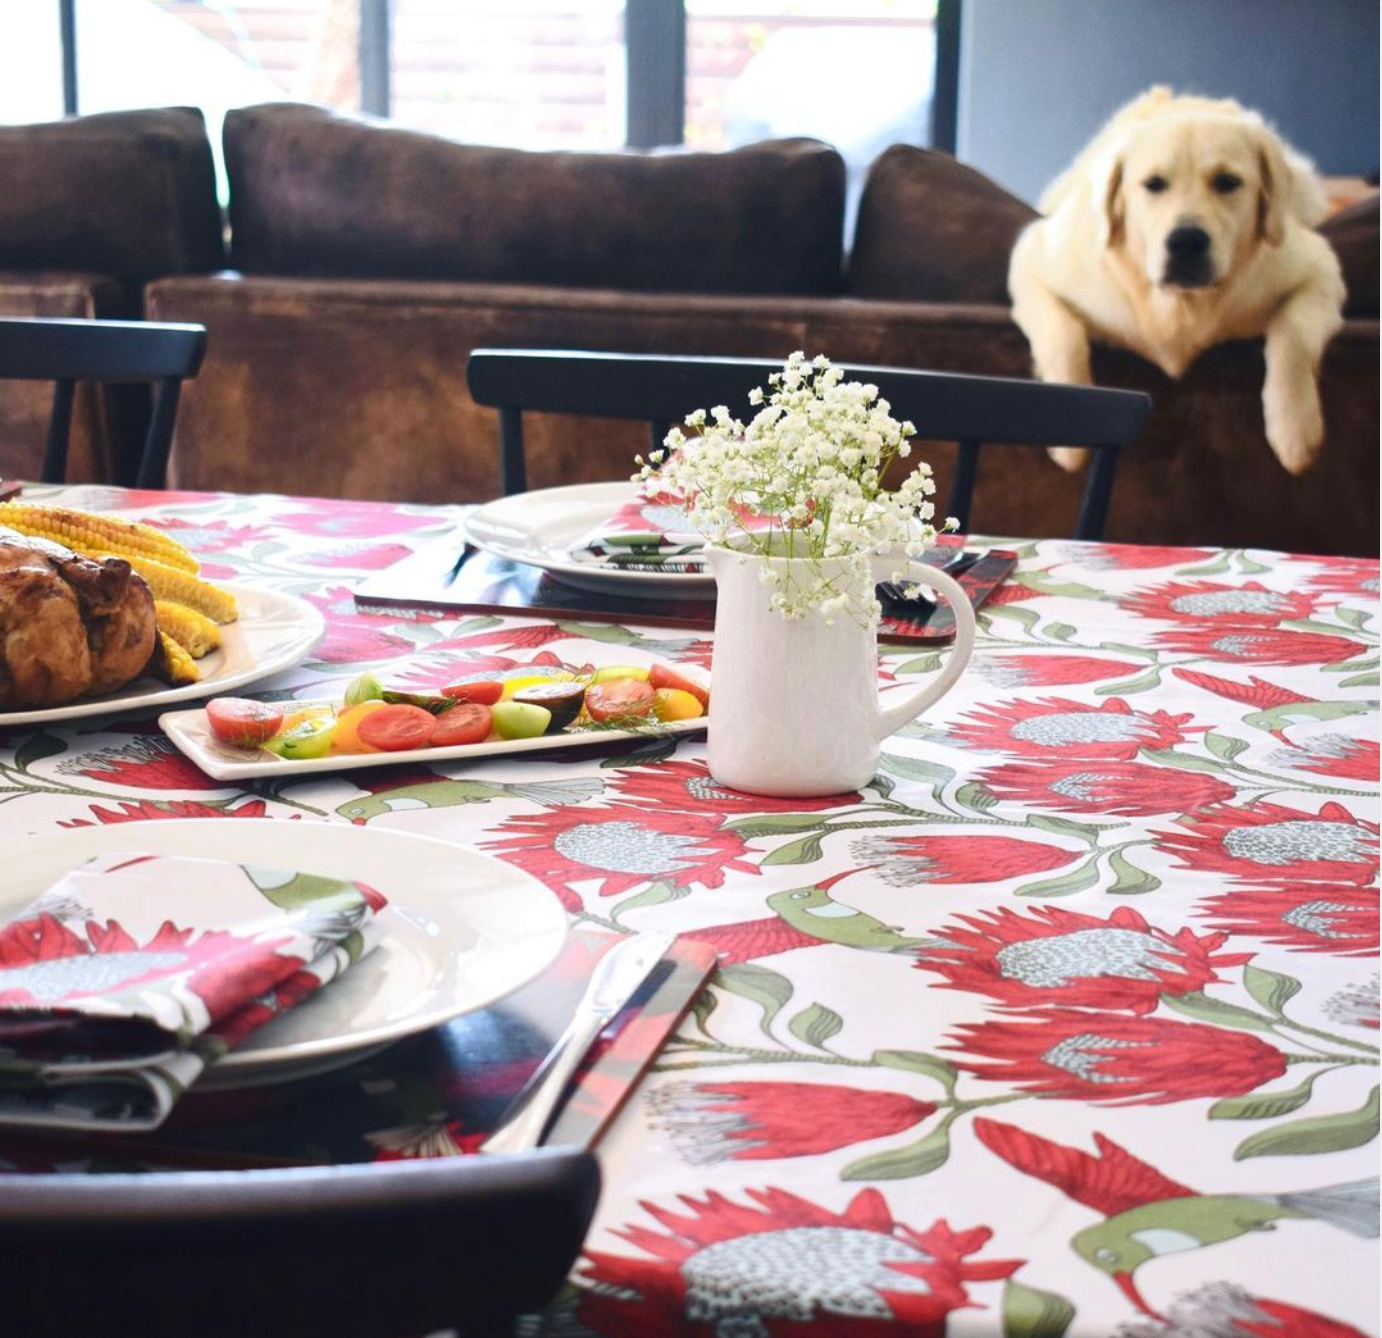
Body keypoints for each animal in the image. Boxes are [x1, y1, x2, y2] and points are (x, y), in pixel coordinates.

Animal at [1011, 86, 1343, 472]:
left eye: (1227, 182)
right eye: (1154, 184)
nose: (1186, 242)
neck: (1179, 306)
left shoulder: (1320, 268)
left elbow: (1294, 336)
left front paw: (1295, 430)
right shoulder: (1033, 258)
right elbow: (1065, 334)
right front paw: (1070, 441)